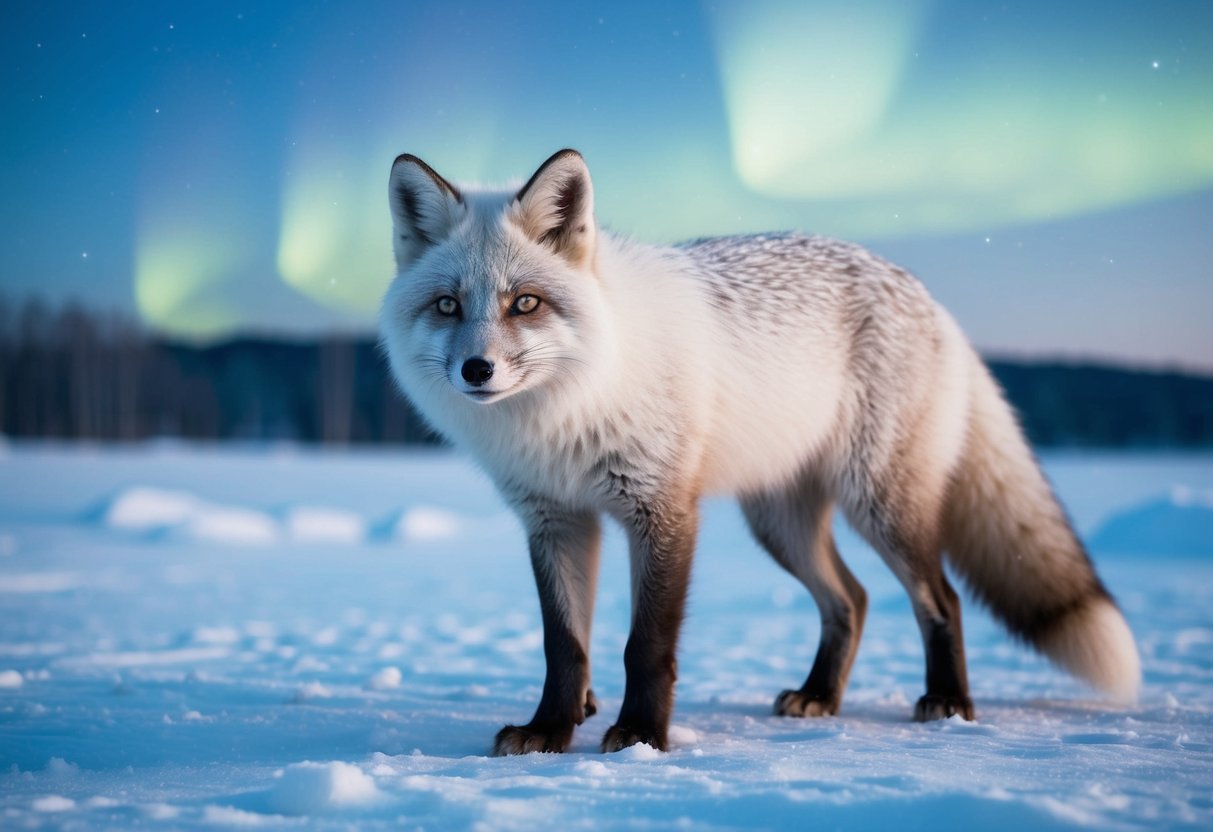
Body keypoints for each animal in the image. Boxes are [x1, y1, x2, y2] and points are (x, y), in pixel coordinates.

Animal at [379, 148, 1141, 756]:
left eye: (525, 303)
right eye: (447, 306)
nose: (476, 370)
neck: (563, 412)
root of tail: (926, 296)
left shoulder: (661, 511)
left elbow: (645, 645)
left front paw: (641, 738)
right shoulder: (556, 519)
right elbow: (564, 645)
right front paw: (550, 731)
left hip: (881, 508)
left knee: (941, 598)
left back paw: (948, 704)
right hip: (780, 525)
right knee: (852, 599)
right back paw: (819, 697)